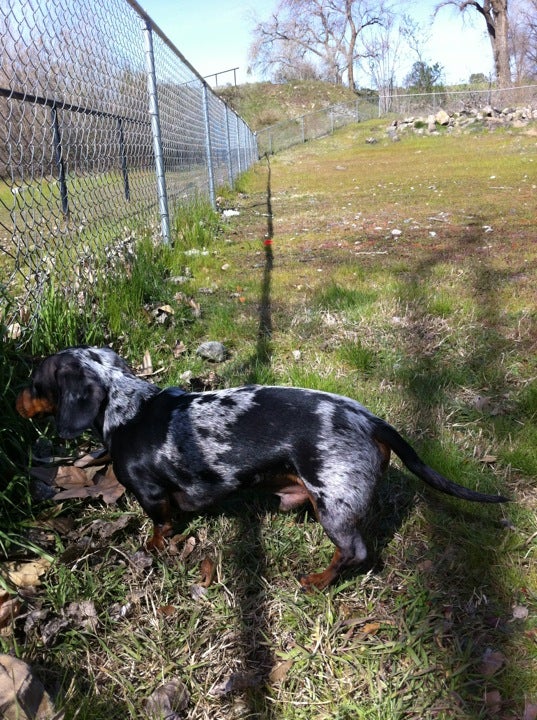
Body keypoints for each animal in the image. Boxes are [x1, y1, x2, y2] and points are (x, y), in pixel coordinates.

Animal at [14, 348, 504, 592]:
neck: (126, 405)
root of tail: (371, 420)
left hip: (334, 505)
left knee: (355, 552)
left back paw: (318, 581)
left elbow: (160, 524)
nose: (15, 403)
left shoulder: (150, 494)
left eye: (34, 382)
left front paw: (153, 548)